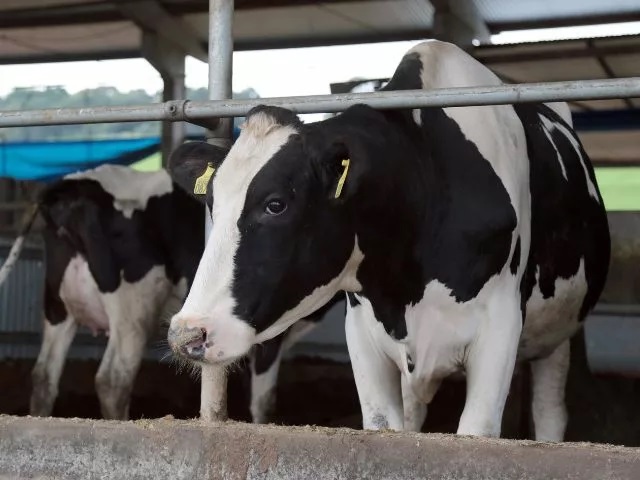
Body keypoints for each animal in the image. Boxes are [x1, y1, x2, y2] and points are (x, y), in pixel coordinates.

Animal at [28, 160, 332, 420]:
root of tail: (72, 189)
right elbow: (264, 400)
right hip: (133, 312)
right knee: (113, 380)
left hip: (56, 307)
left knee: (43, 377)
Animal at [165, 41, 608, 442]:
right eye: (211, 203)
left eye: (276, 204)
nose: (187, 335)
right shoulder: (363, 333)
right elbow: (386, 428)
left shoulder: (499, 326)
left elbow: (478, 431)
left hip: (558, 332)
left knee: (550, 412)